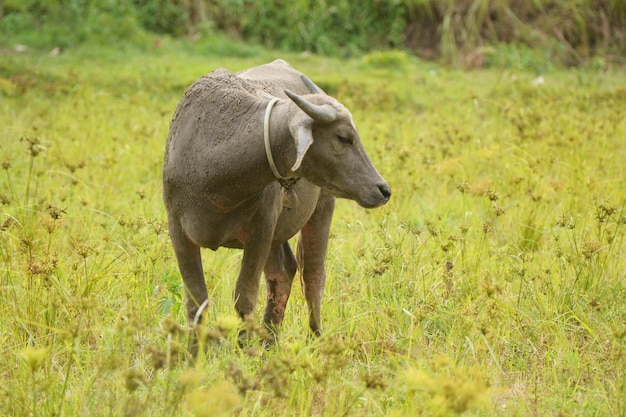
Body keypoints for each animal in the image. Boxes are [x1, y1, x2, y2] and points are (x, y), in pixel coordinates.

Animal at [165, 58, 390, 352]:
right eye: (344, 137)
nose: (383, 189)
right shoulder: (178, 229)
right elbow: (197, 300)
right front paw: (193, 353)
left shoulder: (260, 228)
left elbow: (244, 296)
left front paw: (242, 348)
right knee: (283, 271)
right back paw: (269, 341)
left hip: (321, 208)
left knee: (312, 276)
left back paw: (314, 339)